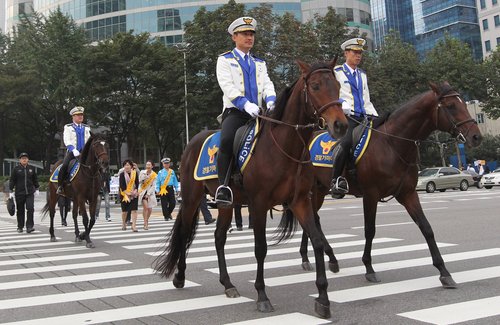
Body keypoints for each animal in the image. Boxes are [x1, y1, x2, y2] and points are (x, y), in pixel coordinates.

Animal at [155, 59, 348, 318]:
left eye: (337, 86)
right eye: (316, 86)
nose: (340, 125)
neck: (286, 147)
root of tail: (192, 142)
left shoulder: (300, 201)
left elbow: (316, 240)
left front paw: (323, 299)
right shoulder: (258, 204)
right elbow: (260, 248)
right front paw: (262, 296)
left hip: (227, 204)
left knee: (218, 238)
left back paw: (227, 284)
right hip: (190, 198)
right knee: (185, 233)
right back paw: (180, 277)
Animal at [294, 82, 482, 288]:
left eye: (463, 103)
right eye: (451, 106)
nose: (476, 137)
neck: (392, 143)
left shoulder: (408, 194)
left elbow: (426, 228)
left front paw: (444, 272)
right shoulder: (370, 195)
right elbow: (370, 230)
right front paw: (369, 267)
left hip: (318, 190)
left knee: (312, 220)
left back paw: (317, 258)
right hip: (313, 190)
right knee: (311, 219)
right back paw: (318, 257)